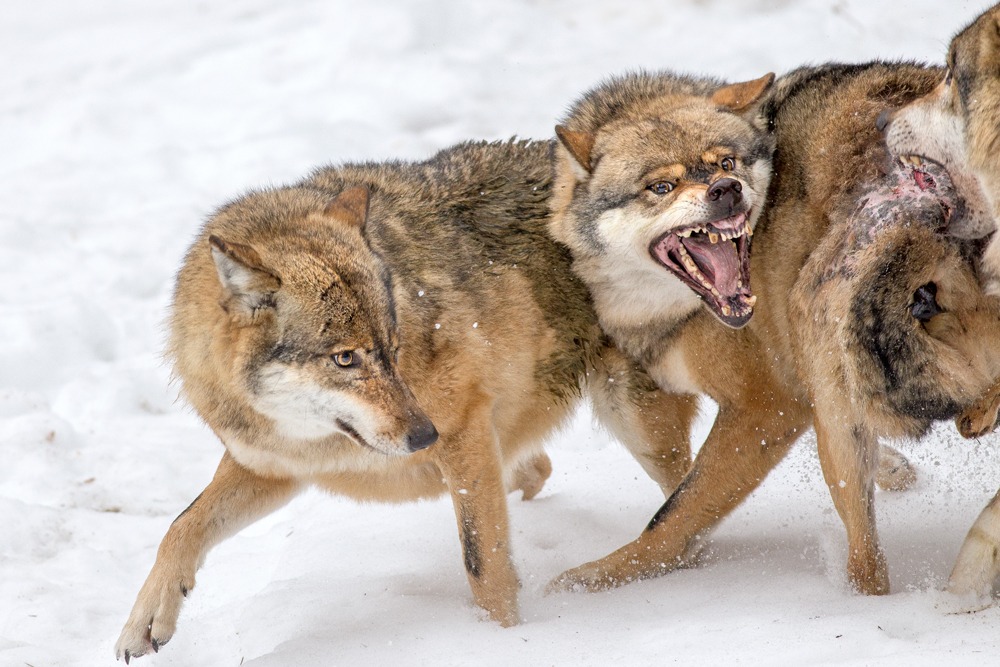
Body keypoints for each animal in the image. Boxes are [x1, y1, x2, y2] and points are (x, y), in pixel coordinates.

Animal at [114, 140, 701, 662]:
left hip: (635, 420)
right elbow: (181, 526)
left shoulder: (464, 432)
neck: (308, 436)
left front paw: (504, 643)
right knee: (541, 469)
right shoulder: (272, 467)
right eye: (345, 359)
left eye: (391, 348)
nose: (424, 437)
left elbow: (483, 567)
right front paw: (144, 622)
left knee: (685, 508)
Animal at [546, 59, 1000, 597]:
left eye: (726, 163)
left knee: (868, 565)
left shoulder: (766, 406)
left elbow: (675, 512)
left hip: (830, 395)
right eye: (661, 187)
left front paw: (596, 577)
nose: (725, 190)